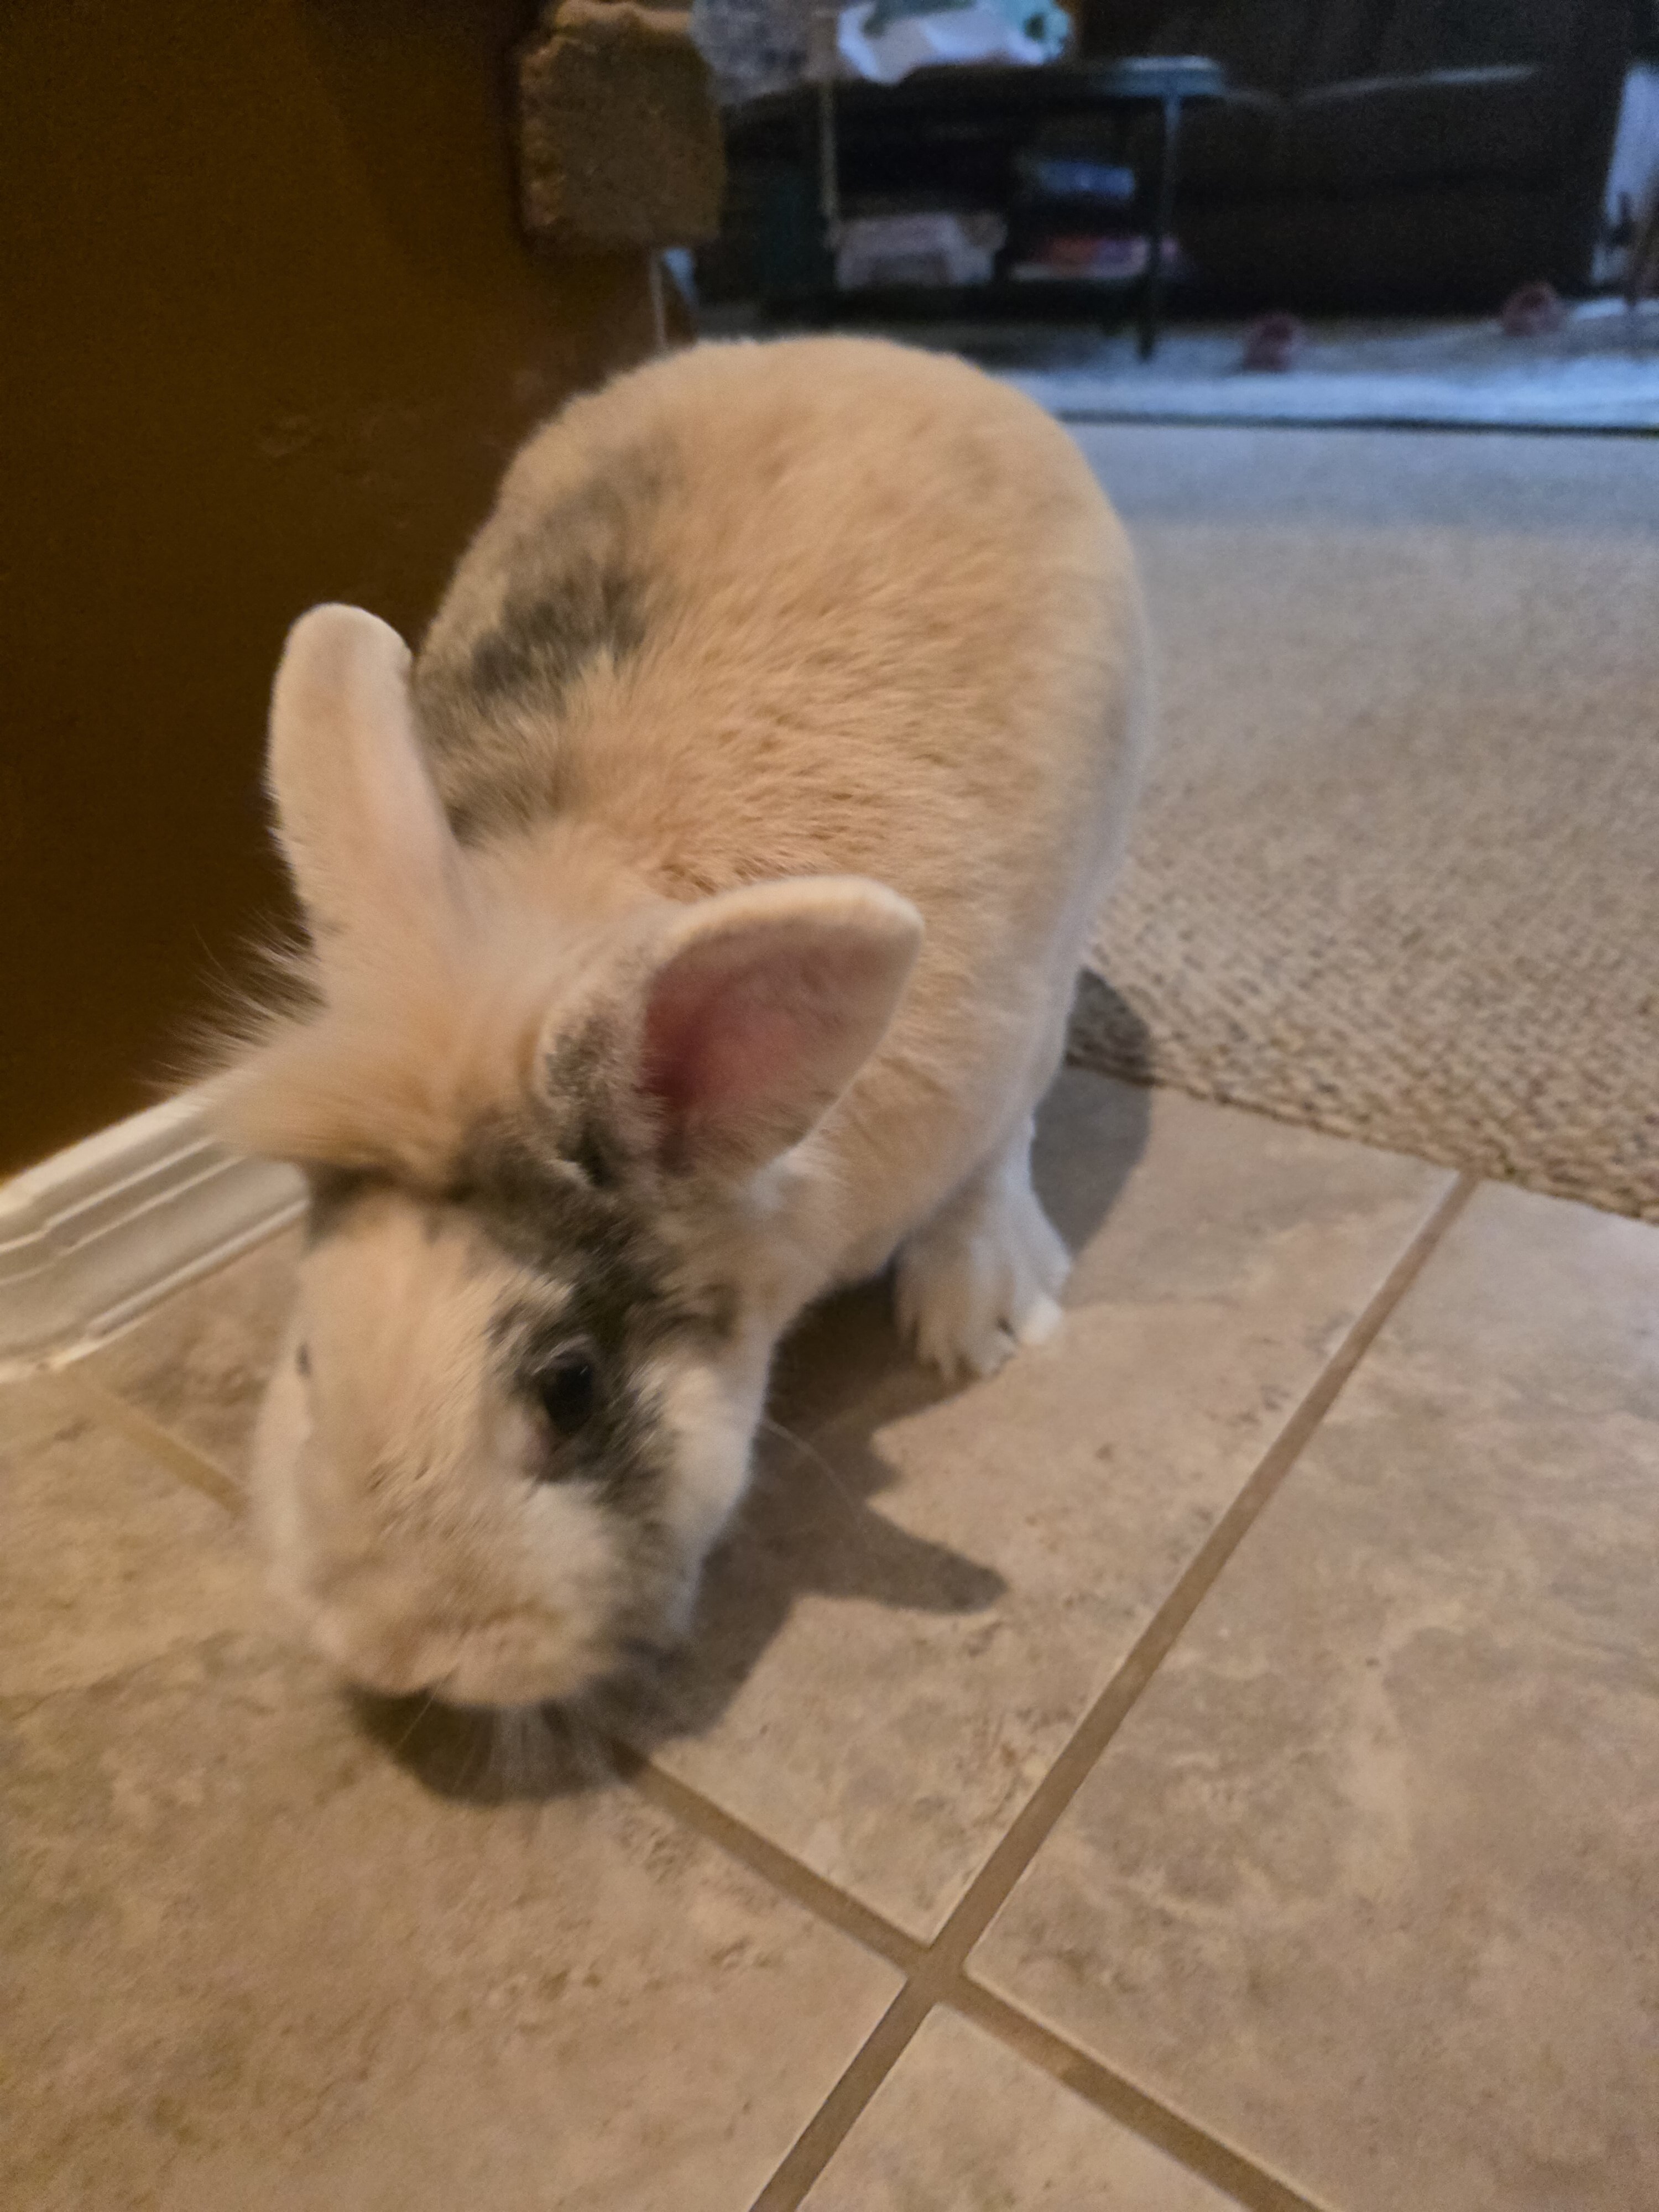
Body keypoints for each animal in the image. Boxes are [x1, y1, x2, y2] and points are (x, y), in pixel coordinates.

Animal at [210, 334, 1150, 1711]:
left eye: (569, 1390)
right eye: (309, 1356)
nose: (404, 1650)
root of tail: (876, 351)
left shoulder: (1001, 1049)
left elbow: (994, 1157)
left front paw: (976, 1322)